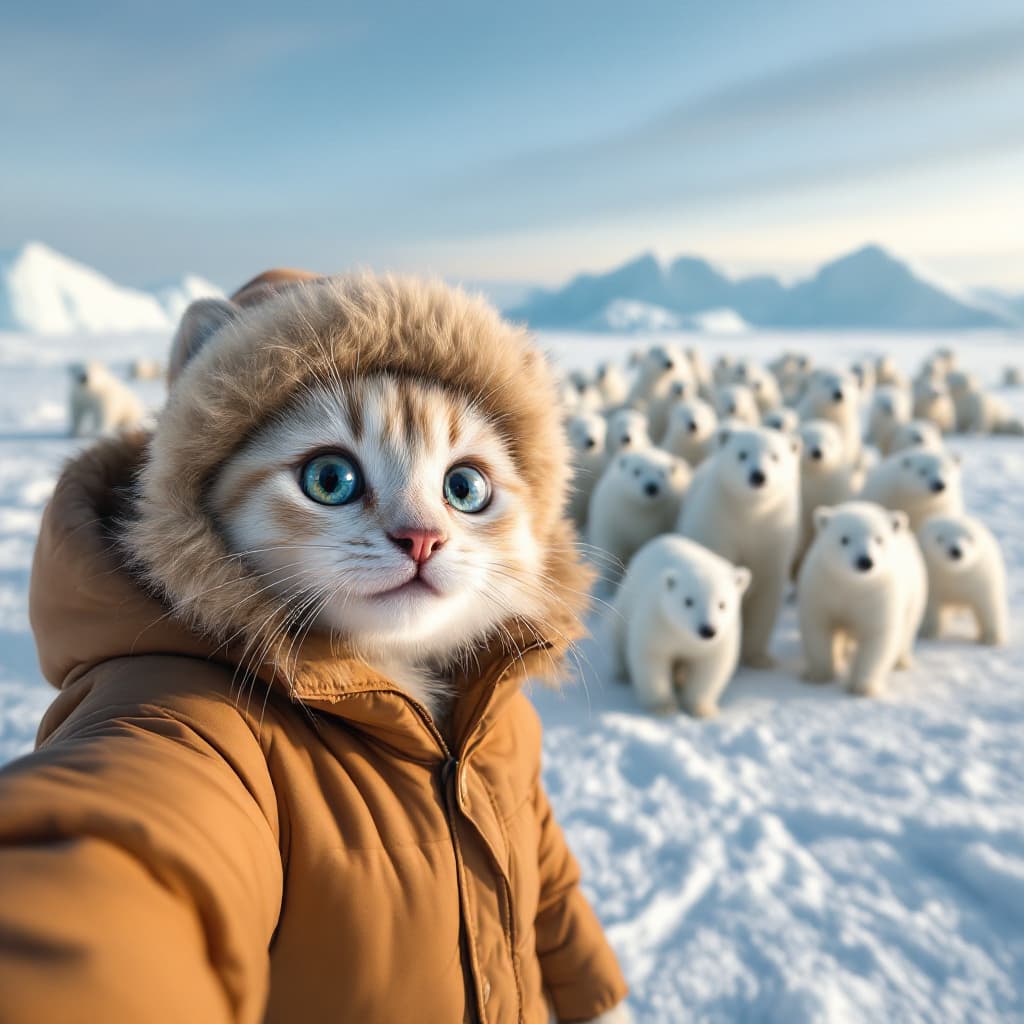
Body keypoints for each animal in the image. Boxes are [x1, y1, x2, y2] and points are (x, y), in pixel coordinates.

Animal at [610, 535, 751, 717]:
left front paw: (702, 709)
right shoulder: (658, 620)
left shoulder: (723, 636)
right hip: (624, 606)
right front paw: (663, 707)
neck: (684, 632)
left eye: (722, 604)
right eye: (688, 601)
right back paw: (622, 674)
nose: (707, 630)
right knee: (618, 636)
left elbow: (711, 666)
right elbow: (653, 658)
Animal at [677, 425, 801, 668]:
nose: (758, 475)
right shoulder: (718, 528)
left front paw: (759, 658)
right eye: (742, 454)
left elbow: (765, 597)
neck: (749, 513)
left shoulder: (773, 540)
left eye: (775, 456)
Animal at [798, 501, 927, 697]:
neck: (854, 584)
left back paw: (902, 661)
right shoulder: (823, 589)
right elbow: (819, 628)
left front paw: (864, 686)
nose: (865, 561)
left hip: (915, 593)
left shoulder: (879, 597)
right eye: (844, 539)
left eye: (879, 539)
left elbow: (877, 637)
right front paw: (818, 675)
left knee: (907, 627)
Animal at [917, 515, 1008, 646]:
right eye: (940, 538)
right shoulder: (931, 579)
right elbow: (929, 606)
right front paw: (927, 632)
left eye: (969, 538)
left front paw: (992, 638)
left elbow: (989, 605)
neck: (956, 573)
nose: (956, 551)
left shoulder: (982, 576)